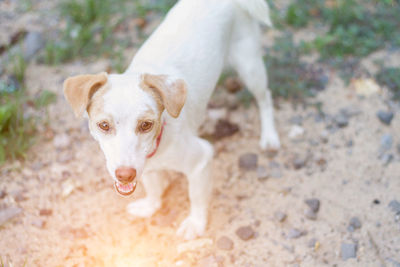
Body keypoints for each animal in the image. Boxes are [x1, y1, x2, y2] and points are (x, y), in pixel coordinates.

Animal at [64, 0, 280, 241]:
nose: (125, 175)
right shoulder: (145, 167)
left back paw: (269, 136)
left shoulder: (201, 159)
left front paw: (195, 224)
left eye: (146, 125)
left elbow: (196, 196)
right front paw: (151, 205)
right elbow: (153, 186)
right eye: (104, 125)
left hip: (250, 67)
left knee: (265, 98)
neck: (158, 144)